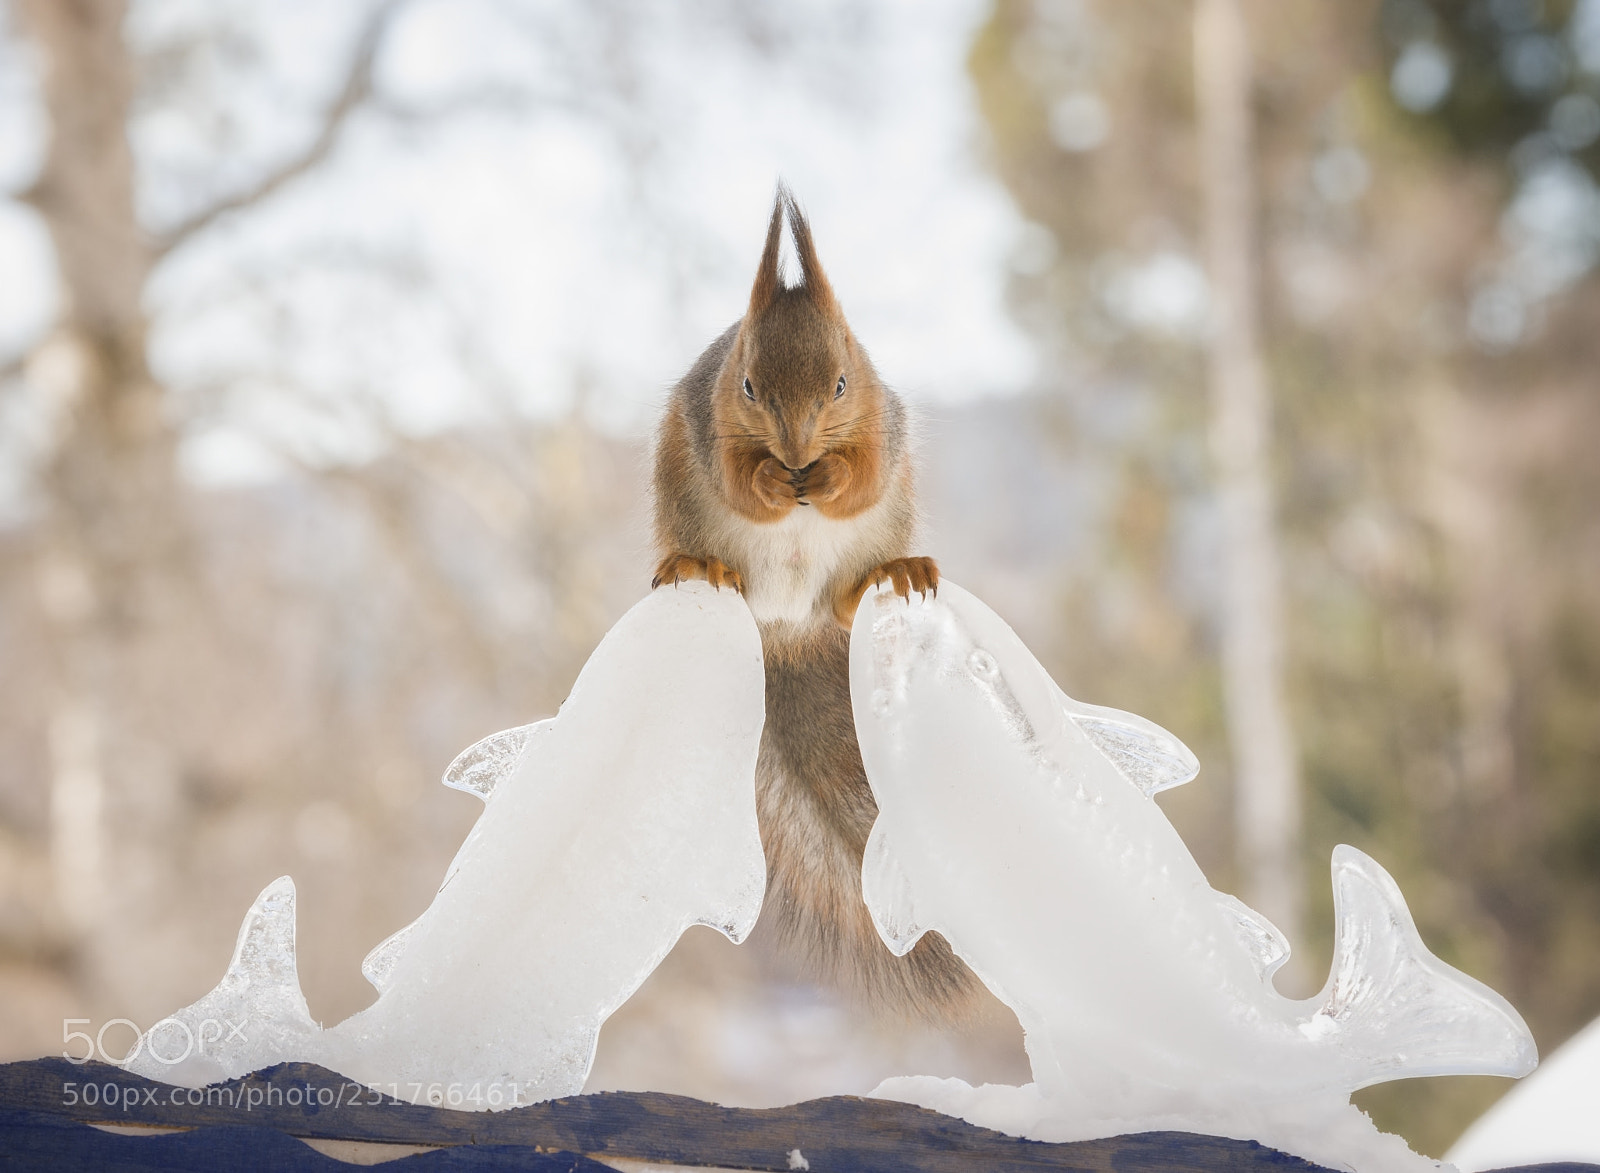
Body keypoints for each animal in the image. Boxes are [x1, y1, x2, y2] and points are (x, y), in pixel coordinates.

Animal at [651, 186, 979, 1020]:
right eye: (747, 385)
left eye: (840, 381)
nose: (798, 455)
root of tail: (782, 628)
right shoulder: (707, 422)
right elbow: (739, 478)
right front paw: (770, 482)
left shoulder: (881, 424)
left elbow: (861, 472)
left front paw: (828, 479)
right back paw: (697, 563)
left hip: (875, 537)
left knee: (848, 600)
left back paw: (893, 570)